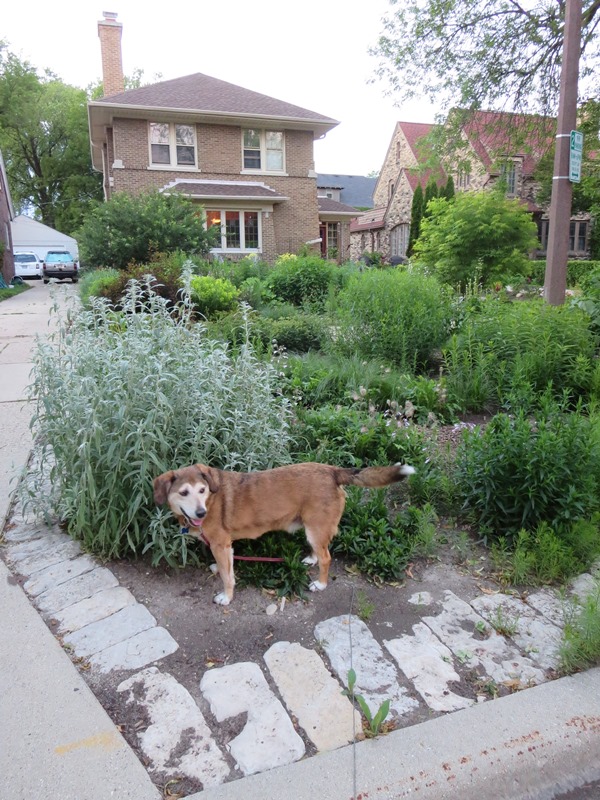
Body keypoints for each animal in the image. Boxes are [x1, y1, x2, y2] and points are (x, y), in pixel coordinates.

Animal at [152, 460, 414, 604]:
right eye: (183, 492)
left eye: (202, 490)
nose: (201, 513)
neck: (211, 500)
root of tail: (332, 470)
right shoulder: (223, 546)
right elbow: (226, 567)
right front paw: (219, 568)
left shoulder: (221, 543)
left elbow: (228, 578)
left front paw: (226, 597)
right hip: (312, 529)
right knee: (320, 551)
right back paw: (310, 558)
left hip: (315, 529)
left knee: (327, 557)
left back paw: (320, 584)